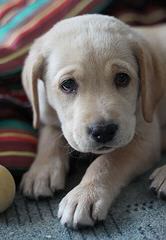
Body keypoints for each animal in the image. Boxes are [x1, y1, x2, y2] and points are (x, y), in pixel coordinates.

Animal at [20, 14, 166, 228]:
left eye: (122, 78)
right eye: (67, 84)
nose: (103, 131)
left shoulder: (146, 138)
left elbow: (107, 161)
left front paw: (84, 194)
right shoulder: (48, 115)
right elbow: (50, 136)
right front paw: (41, 170)